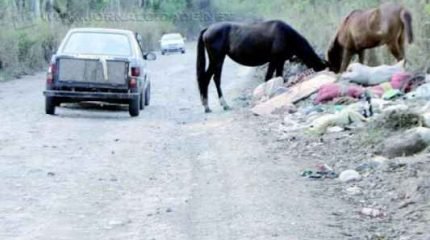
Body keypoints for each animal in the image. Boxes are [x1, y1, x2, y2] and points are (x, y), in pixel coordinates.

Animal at [197, 20, 328, 113]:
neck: (286, 35)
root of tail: (208, 29)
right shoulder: (274, 60)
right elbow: (269, 77)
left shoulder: (280, 61)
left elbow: (279, 77)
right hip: (218, 58)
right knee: (213, 78)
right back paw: (220, 105)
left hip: (215, 59)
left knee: (208, 78)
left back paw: (207, 105)